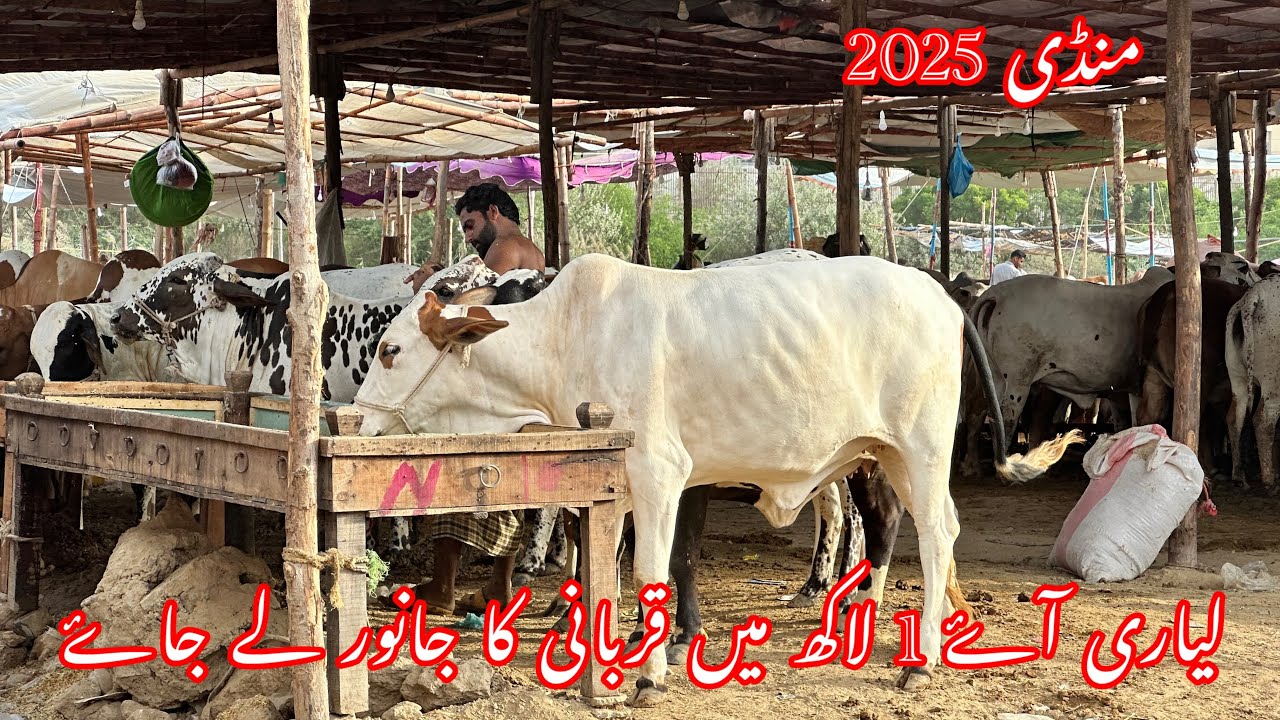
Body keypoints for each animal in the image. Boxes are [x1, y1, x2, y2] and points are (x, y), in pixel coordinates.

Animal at [352, 252, 1082, 704]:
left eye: (390, 350)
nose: (356, 419)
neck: (566, 335)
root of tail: (942, 295)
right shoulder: (613, 486)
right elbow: (603, 566)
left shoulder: (660, 474)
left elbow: (655, 569)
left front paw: (650, 674)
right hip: (883, 454)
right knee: (901, 531)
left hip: (921, 449)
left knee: (930, 535)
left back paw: (921, 658)